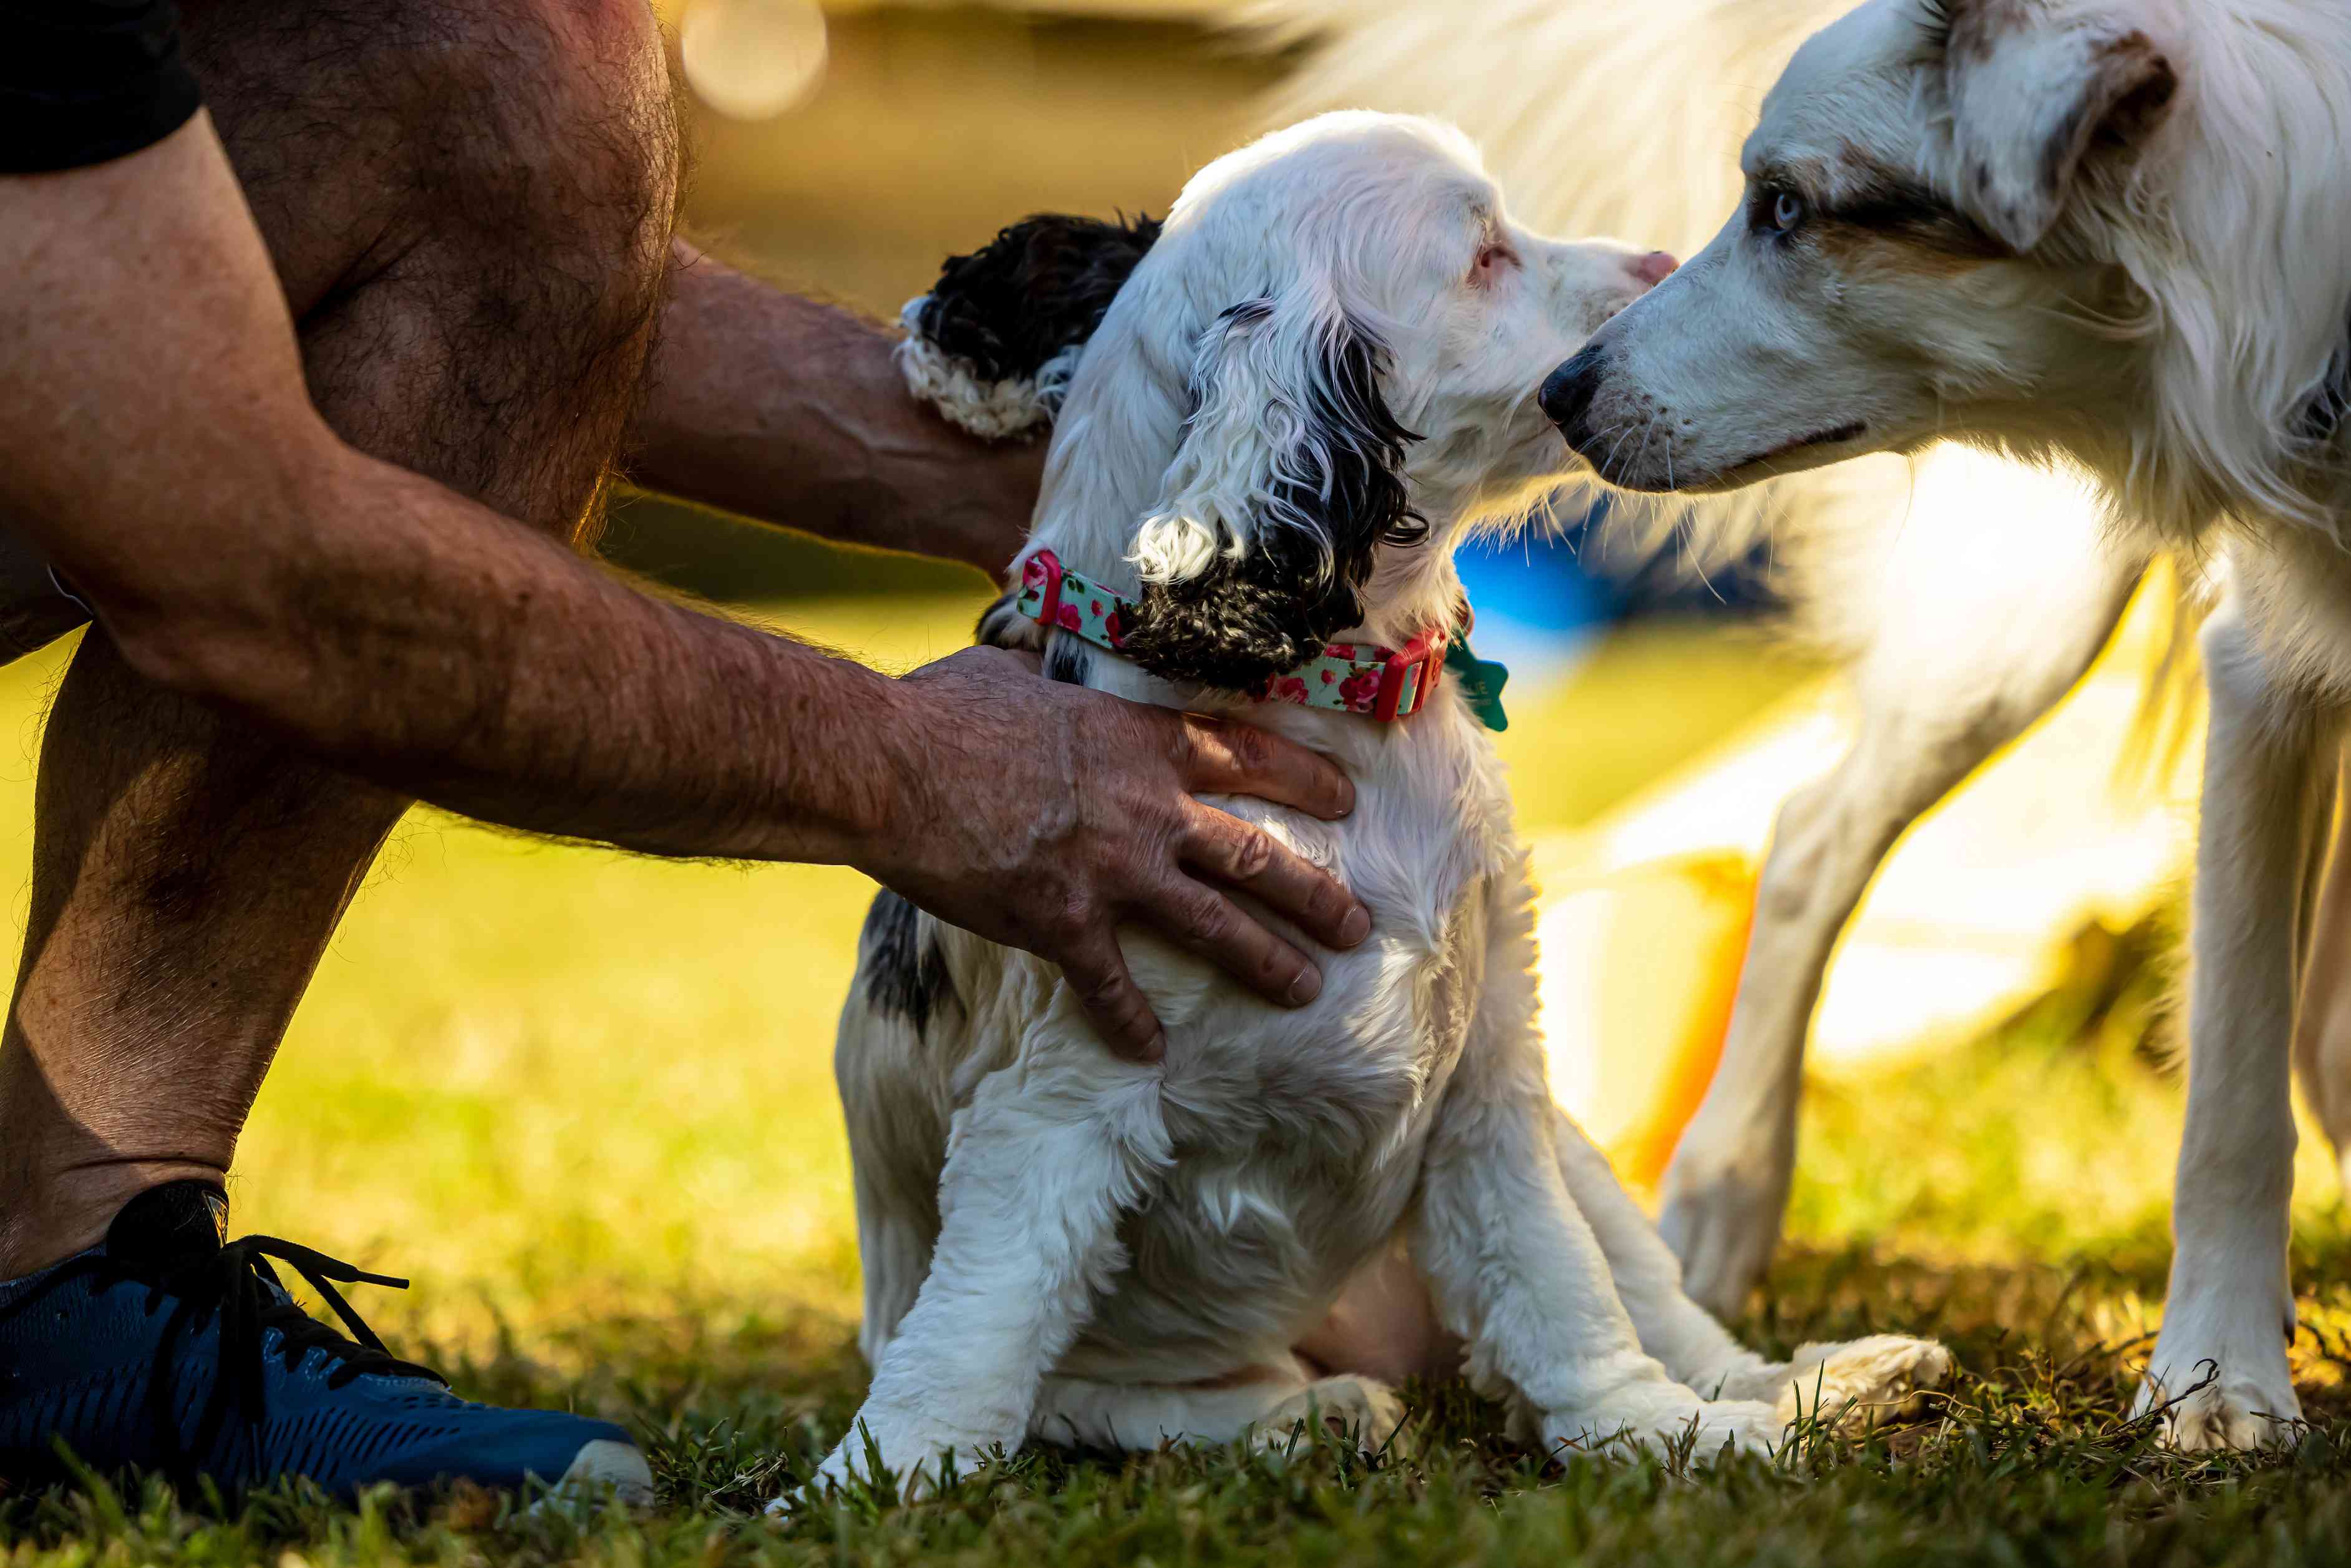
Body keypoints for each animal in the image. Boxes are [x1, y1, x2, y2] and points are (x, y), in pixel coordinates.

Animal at [803, 113, 1946, 1504]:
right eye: (1486, 255)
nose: (1663, 262)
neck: (1343, 715)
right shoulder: (1061, 1101)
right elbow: (972, 1336)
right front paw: (877, 1481)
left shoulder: (1493, 1079)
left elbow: (1560, 1296)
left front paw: (1657, 1432)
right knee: (1115, 1400)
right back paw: (1317, 1411)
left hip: (1573, 1149)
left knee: (1654, 1296)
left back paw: (1814, 1385)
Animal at [1533, 0, 2351, 1457]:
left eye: (1786, 207)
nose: (1558, 391)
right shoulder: (2261, 659)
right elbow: (2232, 1089)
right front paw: (2215, 1383)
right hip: (2012, 626)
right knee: (1808, 838)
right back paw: (1721, 1201)